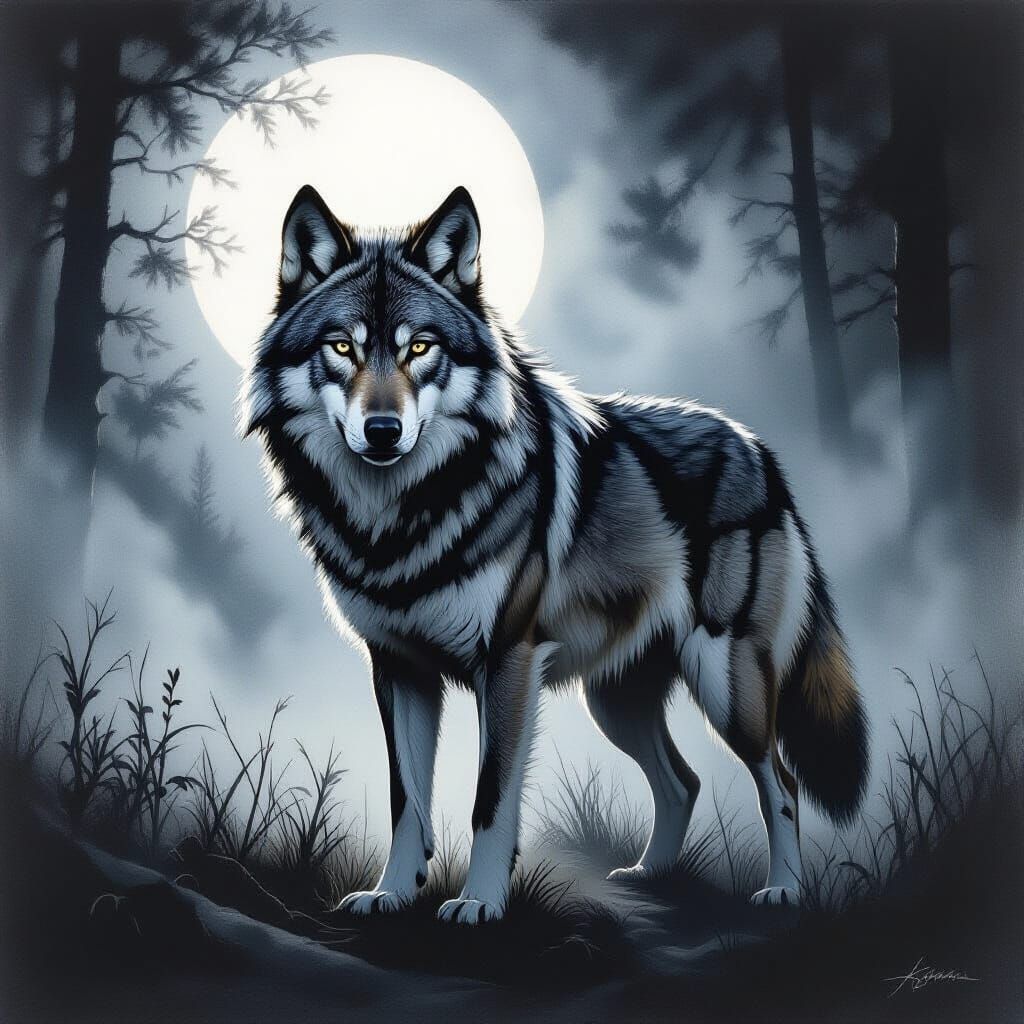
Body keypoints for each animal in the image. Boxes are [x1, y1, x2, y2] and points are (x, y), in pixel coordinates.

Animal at [241, 184, 869, 923]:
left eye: (420, 347)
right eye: (342, 346)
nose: (384, 430)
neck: (399, 520)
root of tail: (759, 448)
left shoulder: (508, 662)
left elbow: (490, 800)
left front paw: (479, 905)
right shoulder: (398, 669)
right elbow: (407, 802)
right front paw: (390, 894)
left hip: (725, 682)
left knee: (784, 784)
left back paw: (784, 892)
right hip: (616, 702)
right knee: (683, 782)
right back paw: (650, 877)